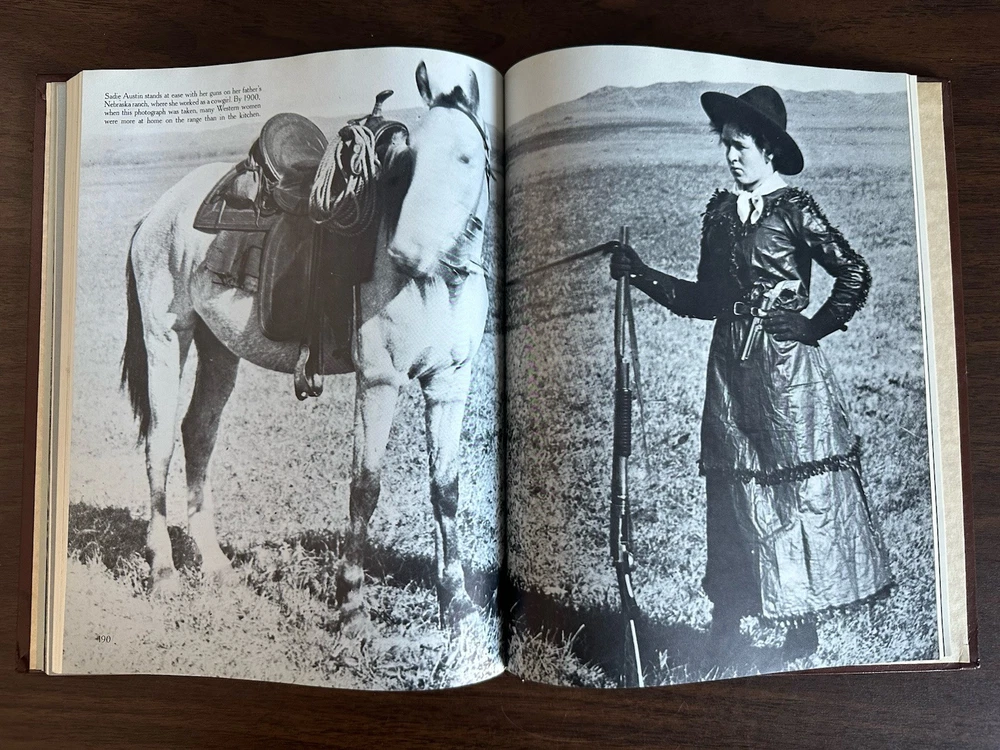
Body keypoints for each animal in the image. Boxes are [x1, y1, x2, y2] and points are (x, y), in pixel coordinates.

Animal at [120, 61, 492, 630]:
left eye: (465, 158)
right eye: (407, 162)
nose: (406, 253)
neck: (437, 283)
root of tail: (158, 211)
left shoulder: (449, 382)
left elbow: (446, 490)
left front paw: (457, 603)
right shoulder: (379, 382)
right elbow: (366, 487)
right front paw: (352, 604)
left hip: (218, 349)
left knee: (197, 434)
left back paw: (216, 566)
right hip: (167, 338)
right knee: (158, 445)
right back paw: (163, 571)